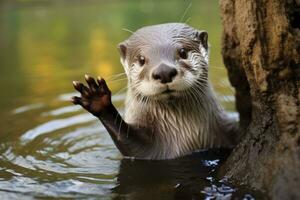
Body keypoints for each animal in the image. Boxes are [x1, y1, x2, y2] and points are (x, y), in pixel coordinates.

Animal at [71, 22, 238, 159]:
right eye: (141, 59)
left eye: (183, 52)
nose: (164, 72)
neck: (187, 134)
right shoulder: (152, 149)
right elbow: (130, 145)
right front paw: (97, 98)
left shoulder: (225, 128)